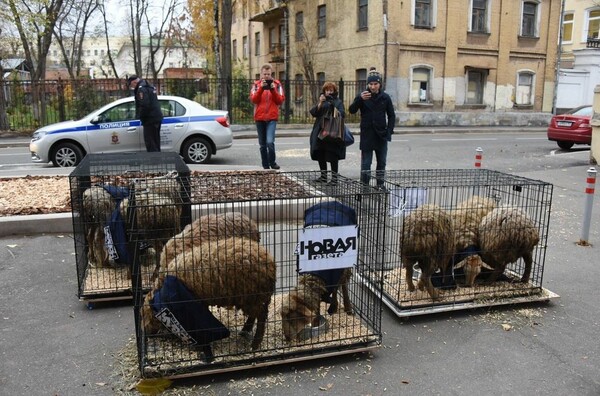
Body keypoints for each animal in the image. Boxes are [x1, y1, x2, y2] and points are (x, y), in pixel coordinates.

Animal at [142, 237, 276, 354]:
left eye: (145, 315)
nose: (146, 333)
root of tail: (270, 261)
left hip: (252, 295)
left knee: (261, 316)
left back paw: (255, 344)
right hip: (252, 297)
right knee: (255, 315)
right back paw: (245, 331)